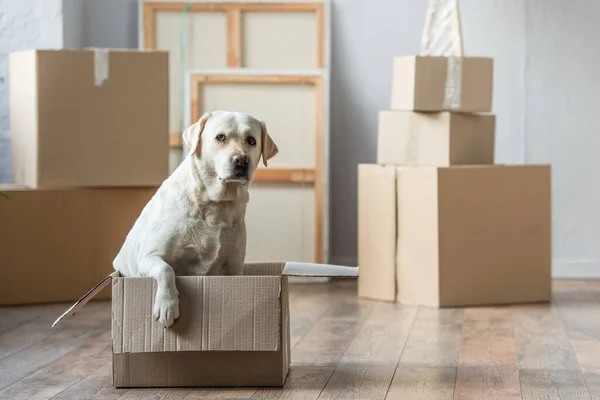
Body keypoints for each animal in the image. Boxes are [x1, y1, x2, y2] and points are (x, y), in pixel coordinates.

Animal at [112, 110, 278, 328]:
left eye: (251, 140)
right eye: (220, 137)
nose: (241, 160)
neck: (215, 205)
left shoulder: (234, 268)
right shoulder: (148, 256)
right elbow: (166, 269)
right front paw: (167, 305)